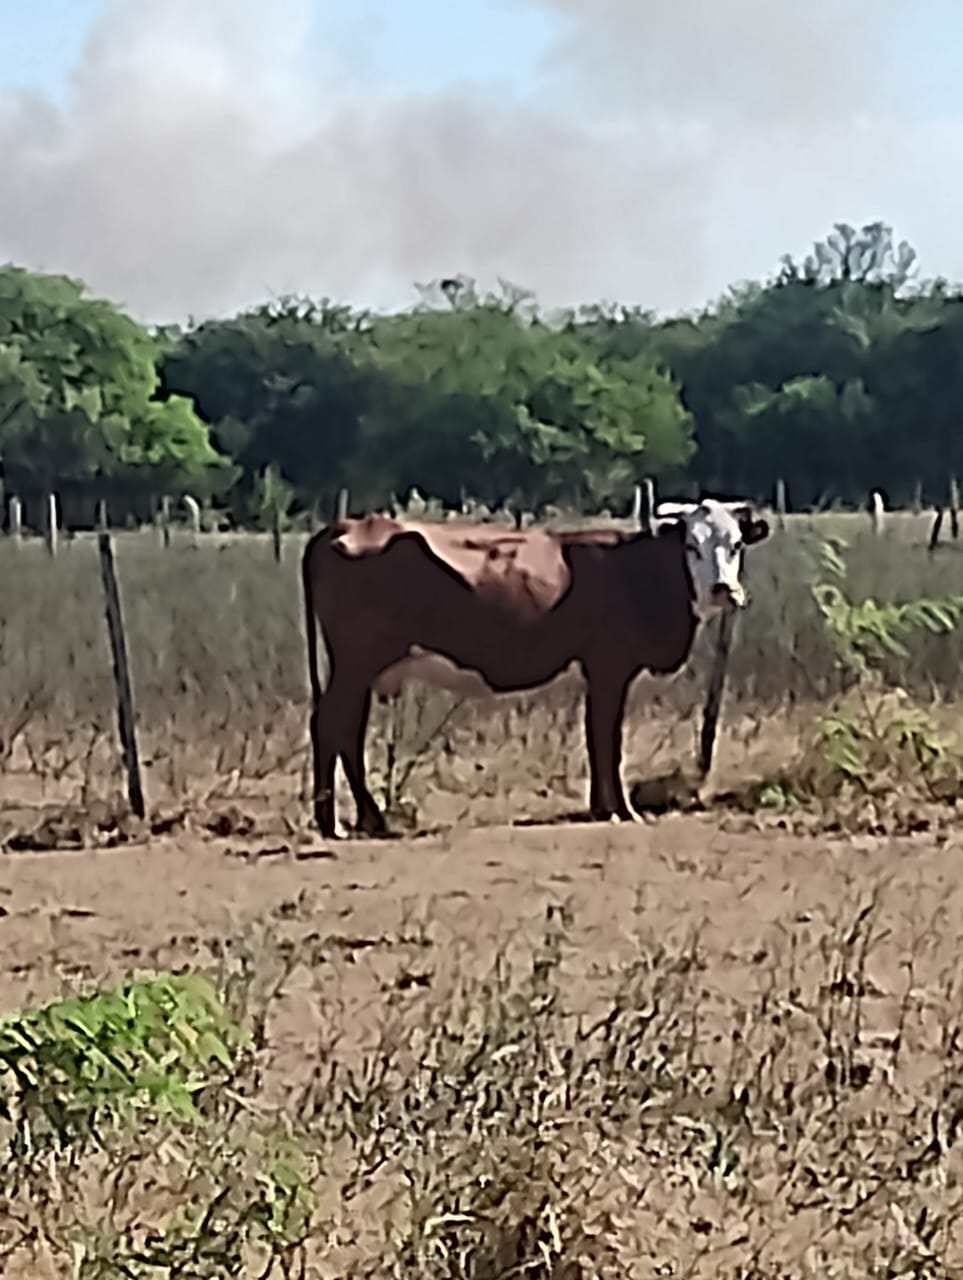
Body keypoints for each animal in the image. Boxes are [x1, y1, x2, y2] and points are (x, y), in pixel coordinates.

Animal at [300, 494, 768, 834]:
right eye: (691, 545)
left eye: (736, 544)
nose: (724, 589)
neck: (636, 574)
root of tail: (343, 527)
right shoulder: (610, 669)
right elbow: (607, 738)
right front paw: (621, 810)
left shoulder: (599, 673)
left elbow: (596, 738)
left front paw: (601, 808)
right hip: (357, 662)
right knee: (331, 724)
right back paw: (334, 821)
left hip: (361, 669)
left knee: (346, 731)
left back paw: (363, 819)